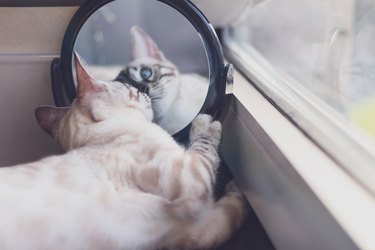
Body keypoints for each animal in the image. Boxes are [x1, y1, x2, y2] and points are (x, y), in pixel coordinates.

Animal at [0, 53, 248, 250]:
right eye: (131, 90)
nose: (143, 90)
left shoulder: (191, 229)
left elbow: (232, 213)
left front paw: (239, 189)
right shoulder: (190, 179)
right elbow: (205, 148)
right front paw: (206, 124)